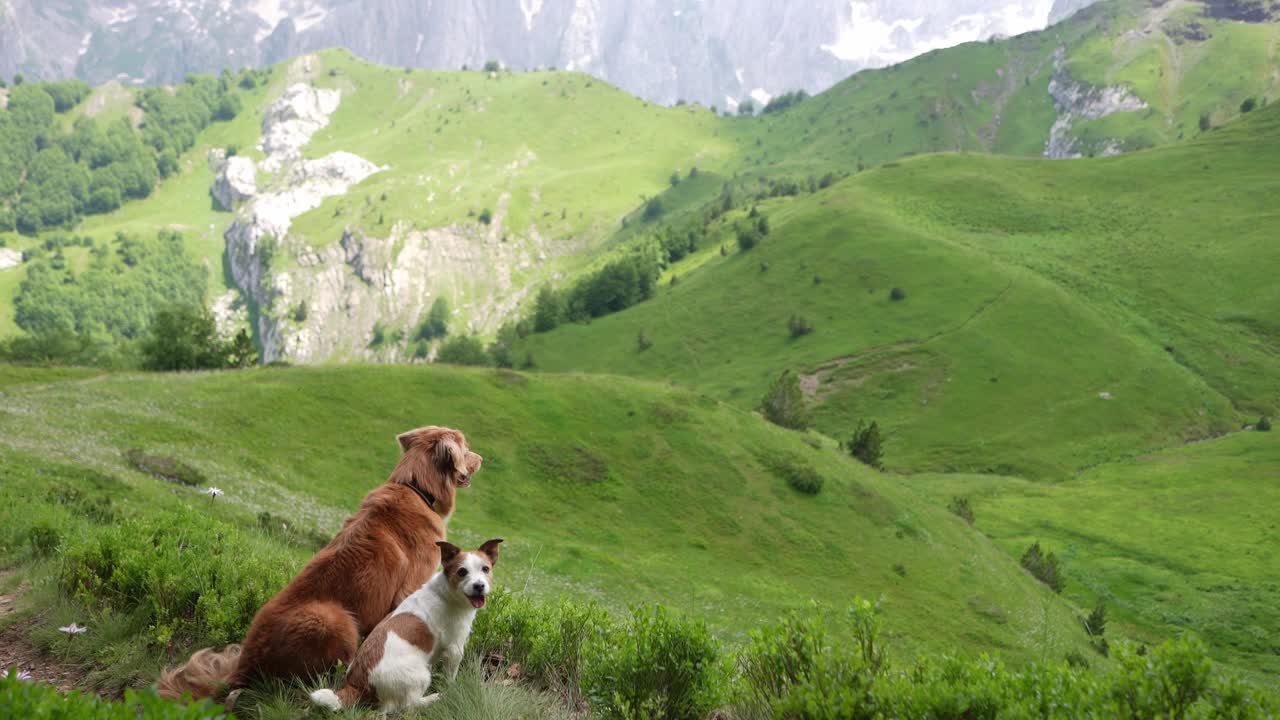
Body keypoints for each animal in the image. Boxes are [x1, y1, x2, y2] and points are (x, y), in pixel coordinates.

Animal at [154, 422, 481, 696]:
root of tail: (247, 661)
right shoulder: (409, 589)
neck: (417, 488)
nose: (481, 458)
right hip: (334, 618)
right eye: (466, 448)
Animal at [312, 535, 501, 707]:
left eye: (485, 569)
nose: (479, 586)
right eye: (462, 572)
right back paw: (433, 698)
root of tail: (359, 685)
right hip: (421, 674)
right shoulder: (455, 648)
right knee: (410, 705)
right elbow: (451, 677)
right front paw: (451, 691)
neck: (448, 593)